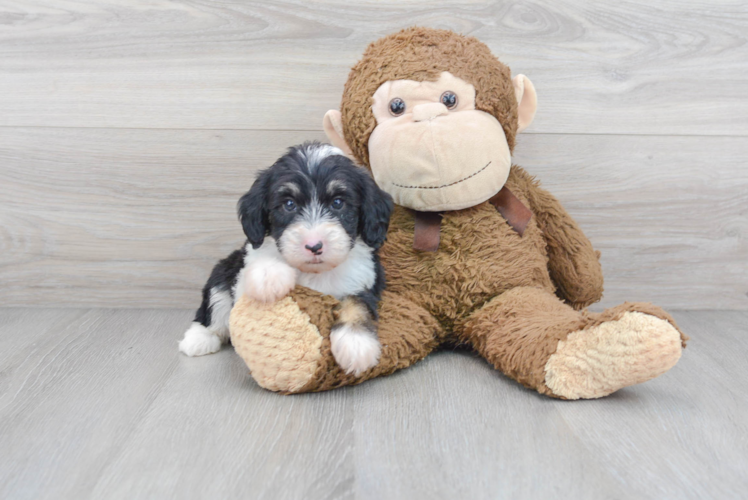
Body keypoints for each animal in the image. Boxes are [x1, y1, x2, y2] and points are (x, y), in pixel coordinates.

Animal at [178, 141, 394, 376]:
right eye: (289, 204)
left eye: (338, 203)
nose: (314, 245)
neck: (315, 273)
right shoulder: (244, 269)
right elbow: (259, 265)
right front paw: (269, 275)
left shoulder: (364, 279)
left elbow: (357, 305)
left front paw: (356, 344)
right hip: (222, 270)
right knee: (214, 305)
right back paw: (199, 338)